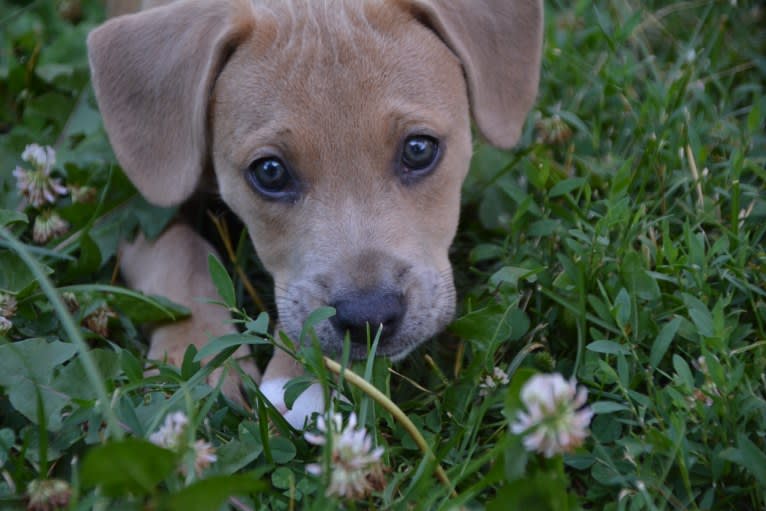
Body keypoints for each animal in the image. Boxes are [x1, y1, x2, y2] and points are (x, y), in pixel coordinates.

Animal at [88, 0, 544, 428]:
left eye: (419, 149)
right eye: (270, 172)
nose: (369, 318)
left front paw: (299, 381)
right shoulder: (132, 208)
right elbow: (179, 259)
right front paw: (197, 366)